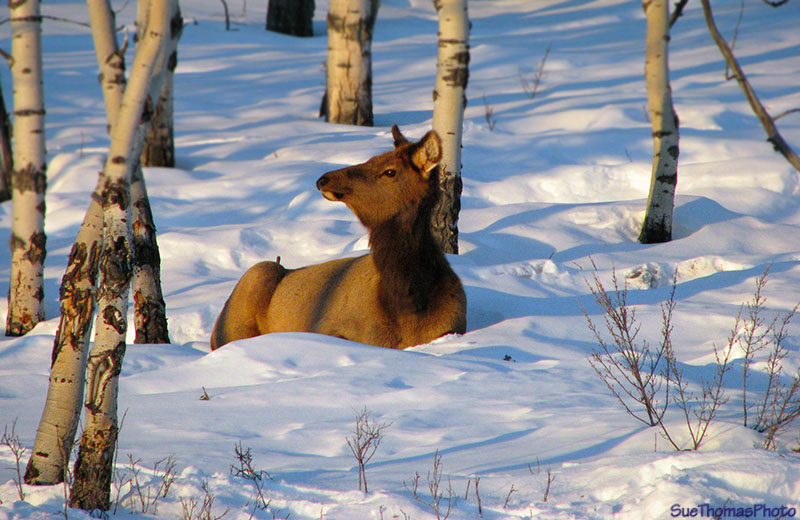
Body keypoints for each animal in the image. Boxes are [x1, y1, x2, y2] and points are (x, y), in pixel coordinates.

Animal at [210, 125, 467, 350]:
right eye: (371, 159)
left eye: (389, 171)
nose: (324, 178)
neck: (409, 306)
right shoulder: (327, 327)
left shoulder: (452, 326)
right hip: (245, 297)